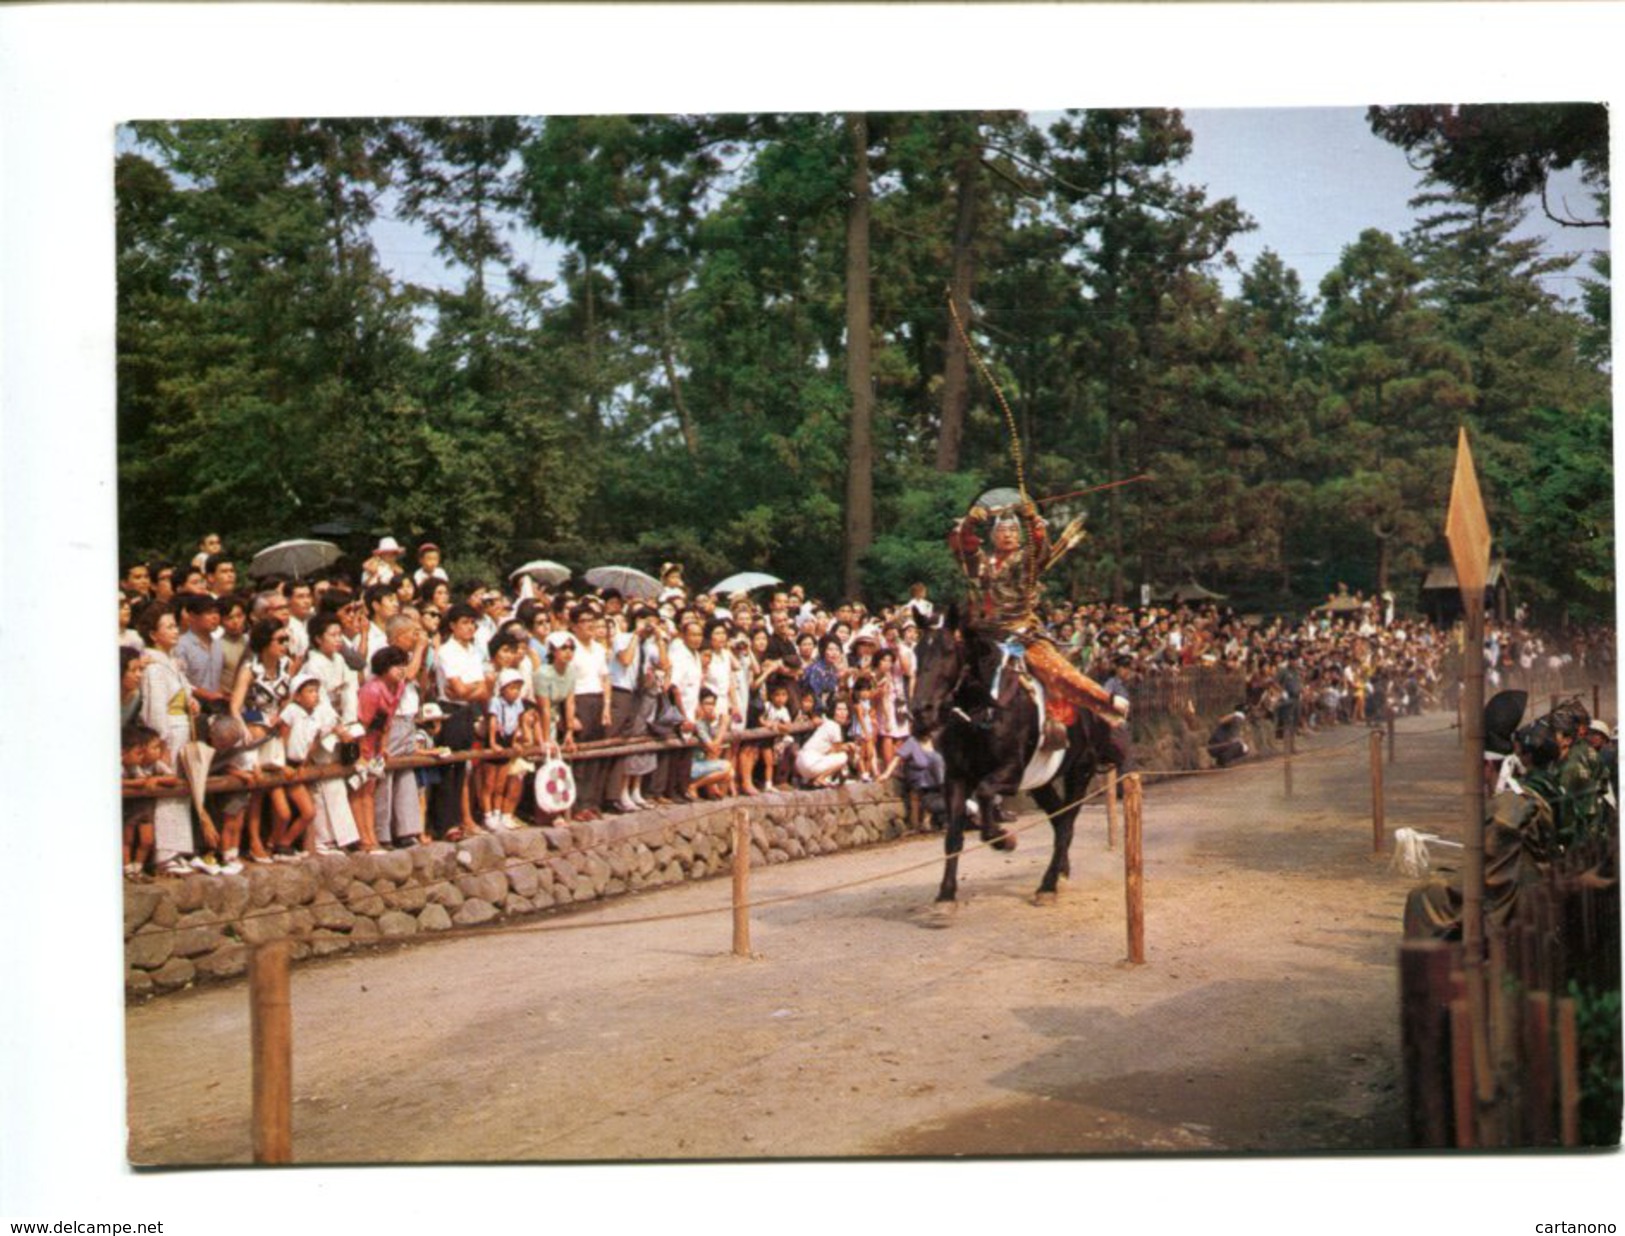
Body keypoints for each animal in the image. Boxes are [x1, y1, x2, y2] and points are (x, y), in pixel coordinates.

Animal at [910, 604, 1124, 903]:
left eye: (949, 651)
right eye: (917, 652)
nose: (921, 710)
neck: (985, 708)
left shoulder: (1012, 773)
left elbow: (985, 794)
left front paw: (1004, 839)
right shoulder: (956, 776)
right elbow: (952, 836)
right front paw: (946, 895)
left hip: (1079, 772)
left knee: (1067, 825)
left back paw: (1047, 885)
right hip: (1041, 782)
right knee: (1059, 820)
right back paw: (1060, 871)